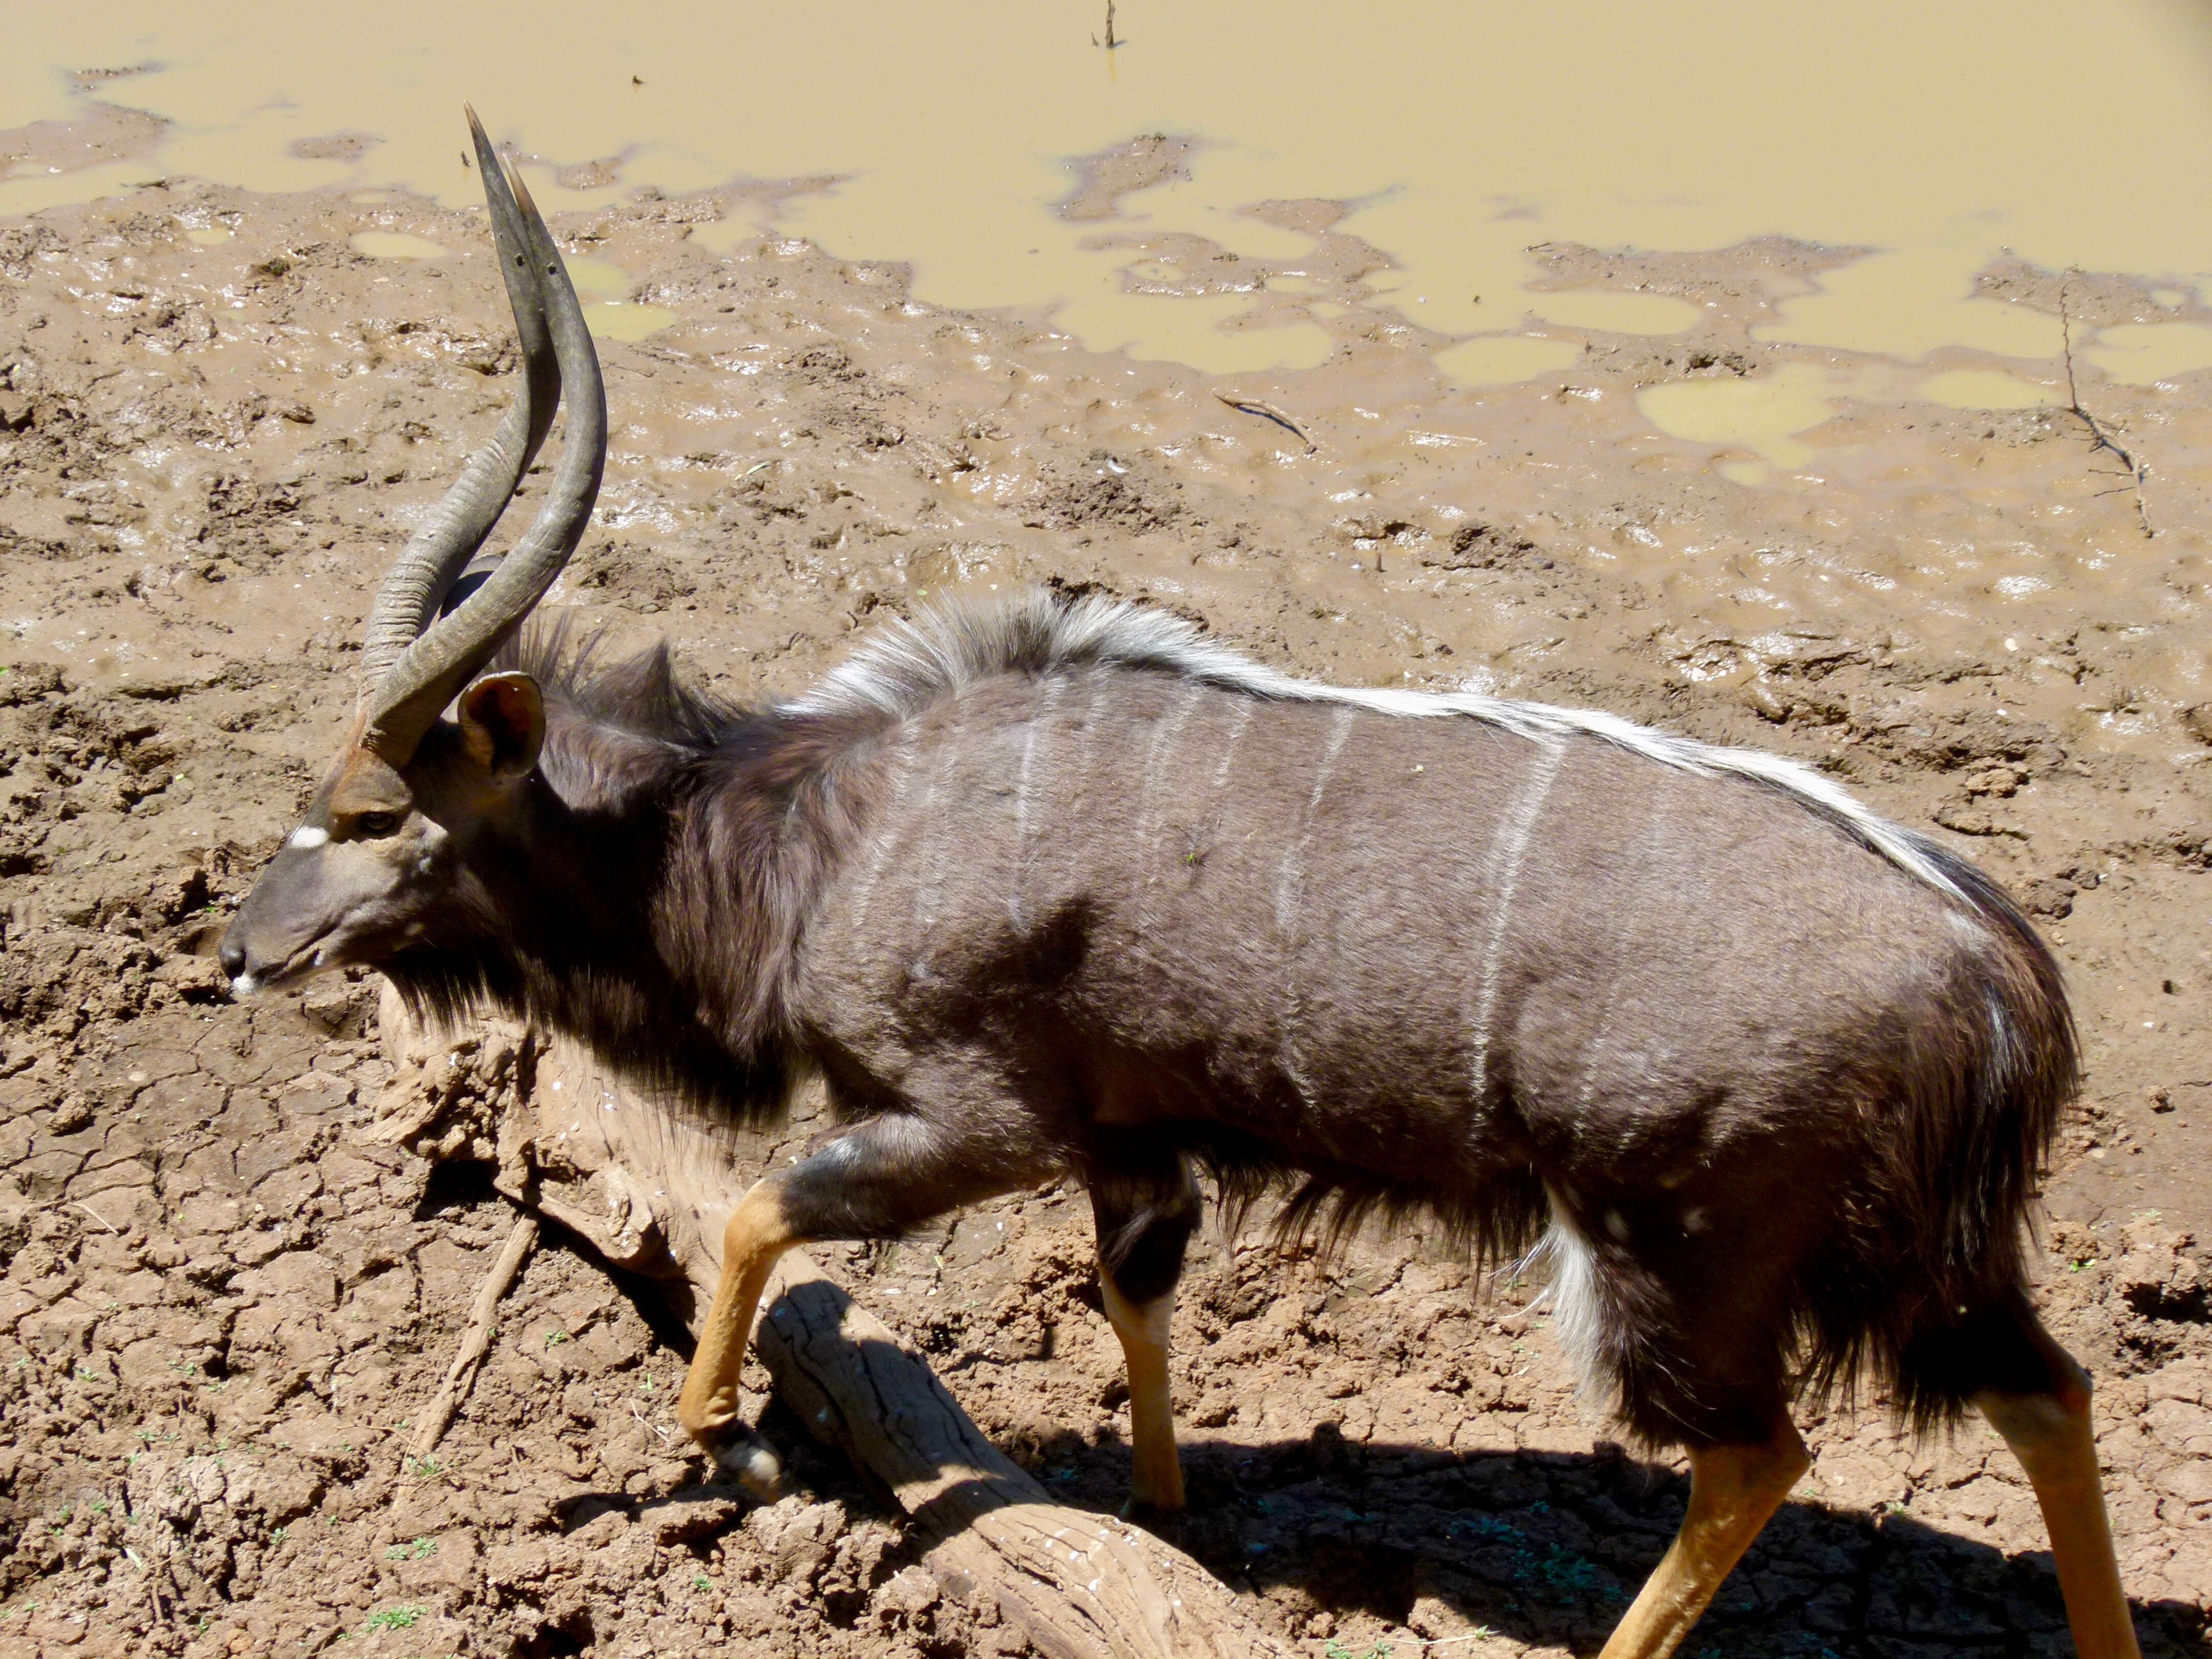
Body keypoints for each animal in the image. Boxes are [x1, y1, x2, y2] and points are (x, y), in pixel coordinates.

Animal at [224, 117, 2141, 1659]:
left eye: (379, 812)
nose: (242, 948)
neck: (810, 830)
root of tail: (1996, 973)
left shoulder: (975, 1117)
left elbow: (765, 1210)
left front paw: (711, 1439)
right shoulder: (1133, 1145)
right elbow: (1136, 1297)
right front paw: (1161, 1521)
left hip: (1683, 1251)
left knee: (1760, 1453)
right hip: (1912, 1260)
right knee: (2048, 1392)